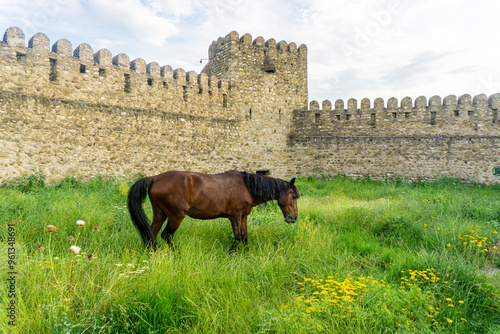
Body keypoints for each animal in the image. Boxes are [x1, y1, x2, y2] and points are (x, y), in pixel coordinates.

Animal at [127, 171, 298, 249]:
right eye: (294, 196)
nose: (294, 218)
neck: (246, 187)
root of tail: (155, 178)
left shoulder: (243, 216)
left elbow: (244, 236)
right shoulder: (235, 216)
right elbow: (237, 237)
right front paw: (231, 255)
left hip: (160, 213)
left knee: (151, 234)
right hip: (176, 216)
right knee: (166, 235)